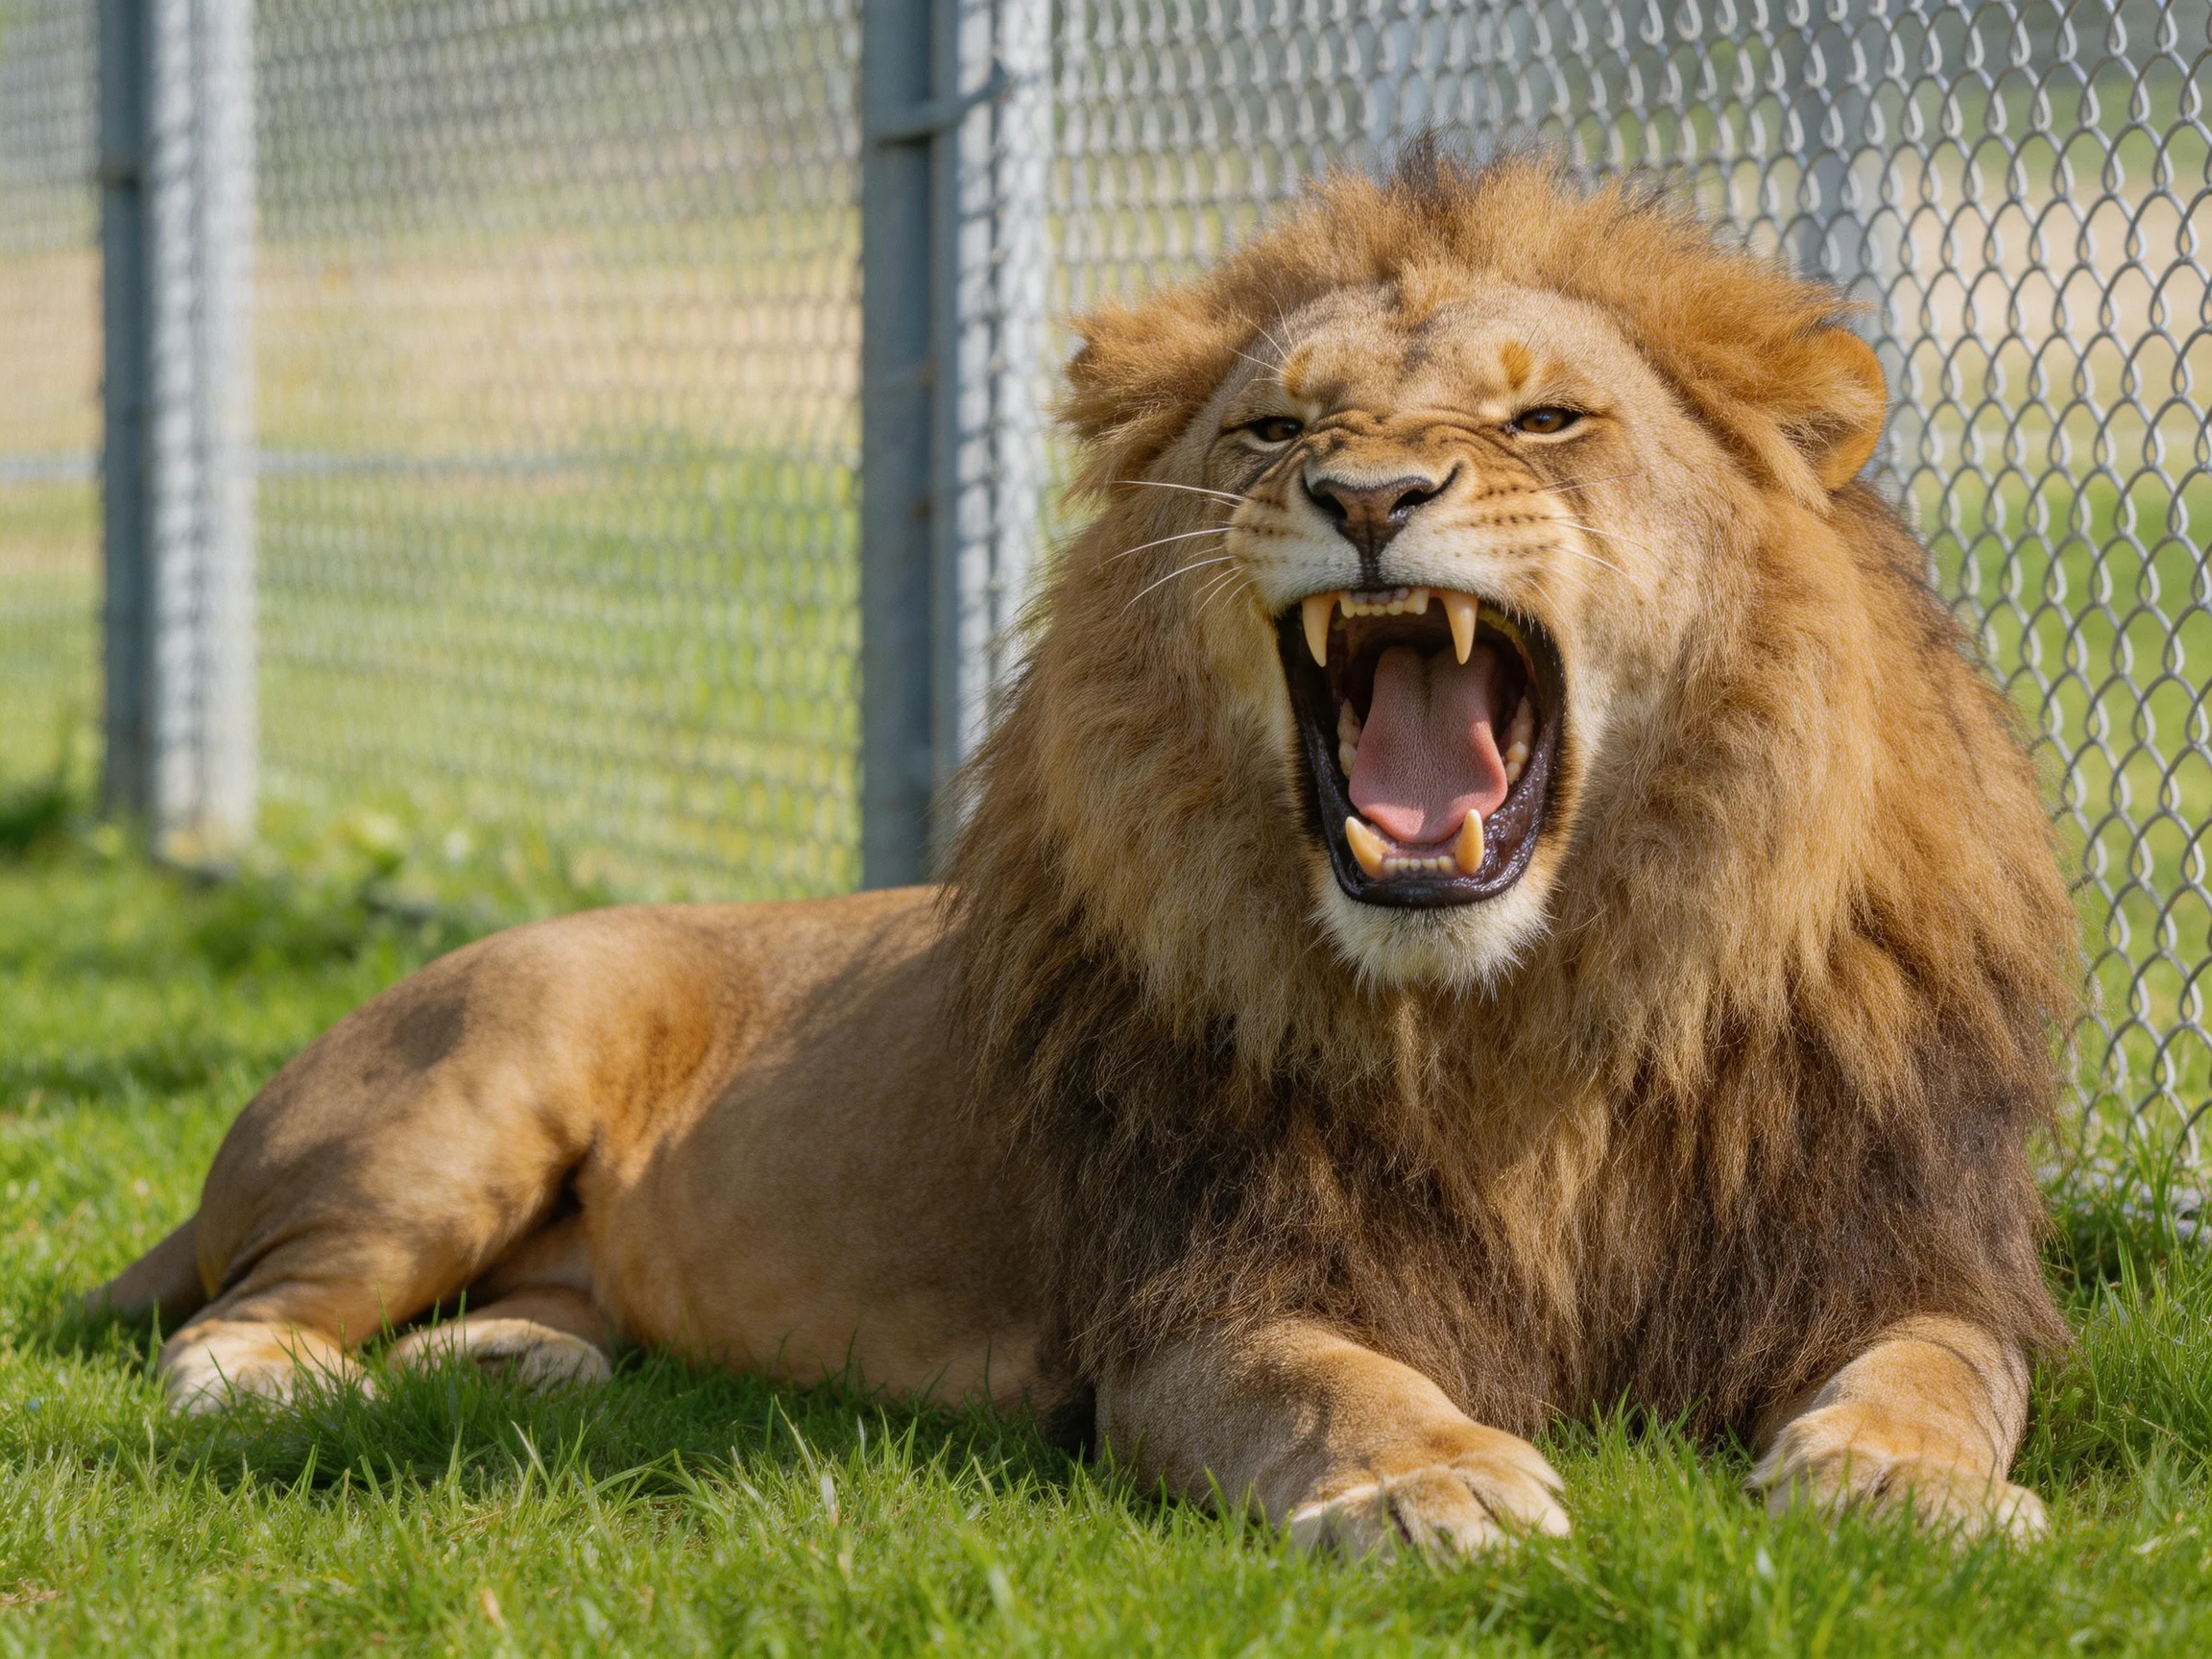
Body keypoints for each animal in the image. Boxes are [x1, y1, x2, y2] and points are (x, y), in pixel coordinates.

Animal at [93, 153, 2075, 1554]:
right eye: (1275, 426)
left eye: (1542, 418)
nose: (1365, 496)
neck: (1524, 1023)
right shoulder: (1193, 1292)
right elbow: (1316, 1381)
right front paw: (1426, 1480)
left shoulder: (1886, 1237)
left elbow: (1944, 1365)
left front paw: (1898, 1480)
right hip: (479, 1079)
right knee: (234, 1315)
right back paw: (270, 1383)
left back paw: (523, 1351)